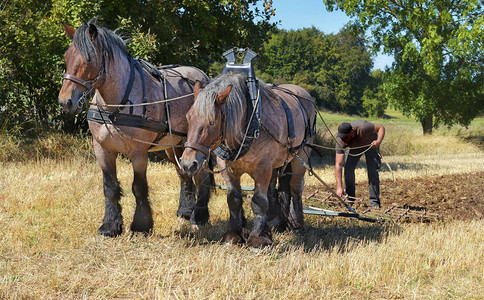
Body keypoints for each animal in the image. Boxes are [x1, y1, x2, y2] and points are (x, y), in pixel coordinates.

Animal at [58, 20, 212, 237]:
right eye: (67, 56)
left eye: (89, 59)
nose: (66, 102)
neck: (113, 106)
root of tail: (203, 76)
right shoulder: (102, 149)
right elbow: (110, 187)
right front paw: (110, 225)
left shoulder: (139, 152)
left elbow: (138, 187)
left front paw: (141, 224)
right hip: (175, 145)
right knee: (184, 173)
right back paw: (185, 210)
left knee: (202, 176)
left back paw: (200, 215)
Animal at [180, 72, 316, 246]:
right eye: (188, 117)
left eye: (212, 122)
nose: (187, 164)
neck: (250, 123)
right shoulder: (228, 168)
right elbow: (234, 199)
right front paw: (233, 235)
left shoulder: (263, 168)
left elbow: (259, 201)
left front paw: (258, 238)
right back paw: (275, 222)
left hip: (300, 158)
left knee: (295, 188)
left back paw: (296, 224)